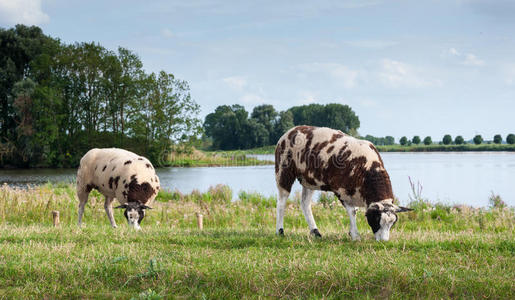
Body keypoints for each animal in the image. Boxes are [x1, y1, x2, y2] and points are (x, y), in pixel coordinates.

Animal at [276, 126, 414, 241]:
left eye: (393, 223)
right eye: (376, 219)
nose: (384, 241)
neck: (367, 168)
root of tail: (292, 130)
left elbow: (355, 211)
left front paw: (351, 232)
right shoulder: (341, 190)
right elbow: (352, 211)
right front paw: (355, 236)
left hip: (309, 179)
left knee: (305, 204)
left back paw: (315, 232)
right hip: (283, 170)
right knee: (282, 202)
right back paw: (280, 231)